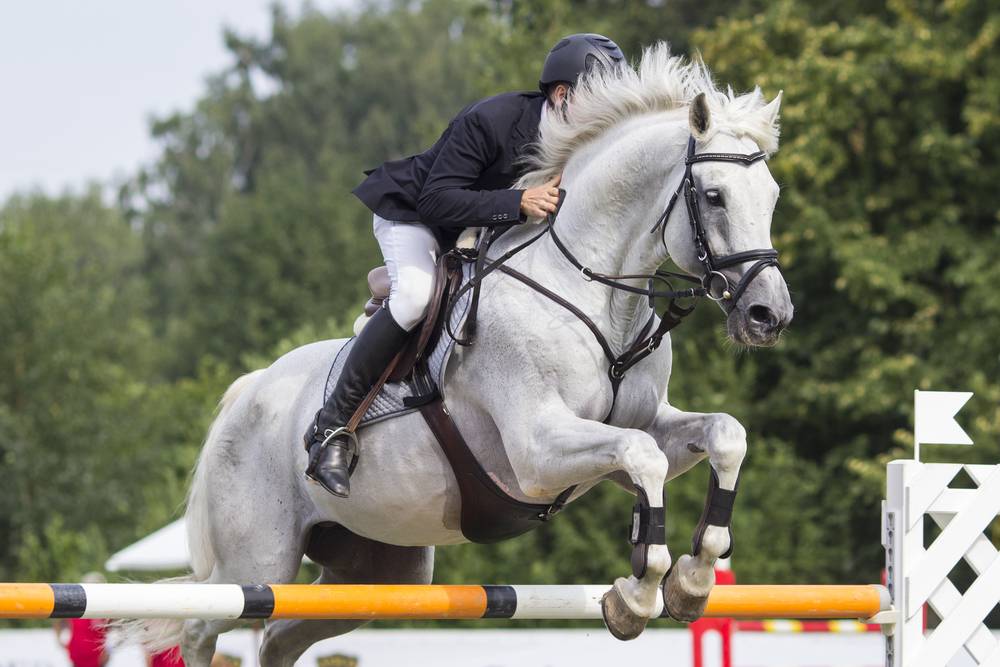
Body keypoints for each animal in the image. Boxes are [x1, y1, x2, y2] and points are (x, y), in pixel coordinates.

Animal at [141, 44, 792, 664]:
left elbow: (722, 436)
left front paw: (691, 581)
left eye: (773, 196)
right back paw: (328, 452)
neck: (595, 289)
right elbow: (642, 456)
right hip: (257, 561)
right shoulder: (537, 451)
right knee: (201, 626)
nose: (770, 315)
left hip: (381, 571)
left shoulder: (644, 423)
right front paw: (635, 596)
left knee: (280, 638)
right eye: (714, 196)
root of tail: (245, 393)